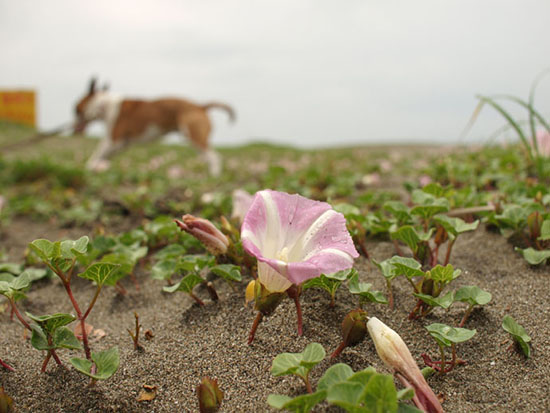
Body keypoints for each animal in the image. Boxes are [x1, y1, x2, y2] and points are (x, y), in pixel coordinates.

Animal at [74, 78, 235, 175]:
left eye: (76, 108)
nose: (74, 127)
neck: (104, 104)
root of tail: (200, 106)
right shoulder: (121, 144)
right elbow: (103, 156)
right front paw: (96, 168)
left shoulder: (114, 140)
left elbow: (97, 152)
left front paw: (88, 167)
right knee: (208, 157)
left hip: (194, 136)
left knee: (214, 157)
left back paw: (213, 175)